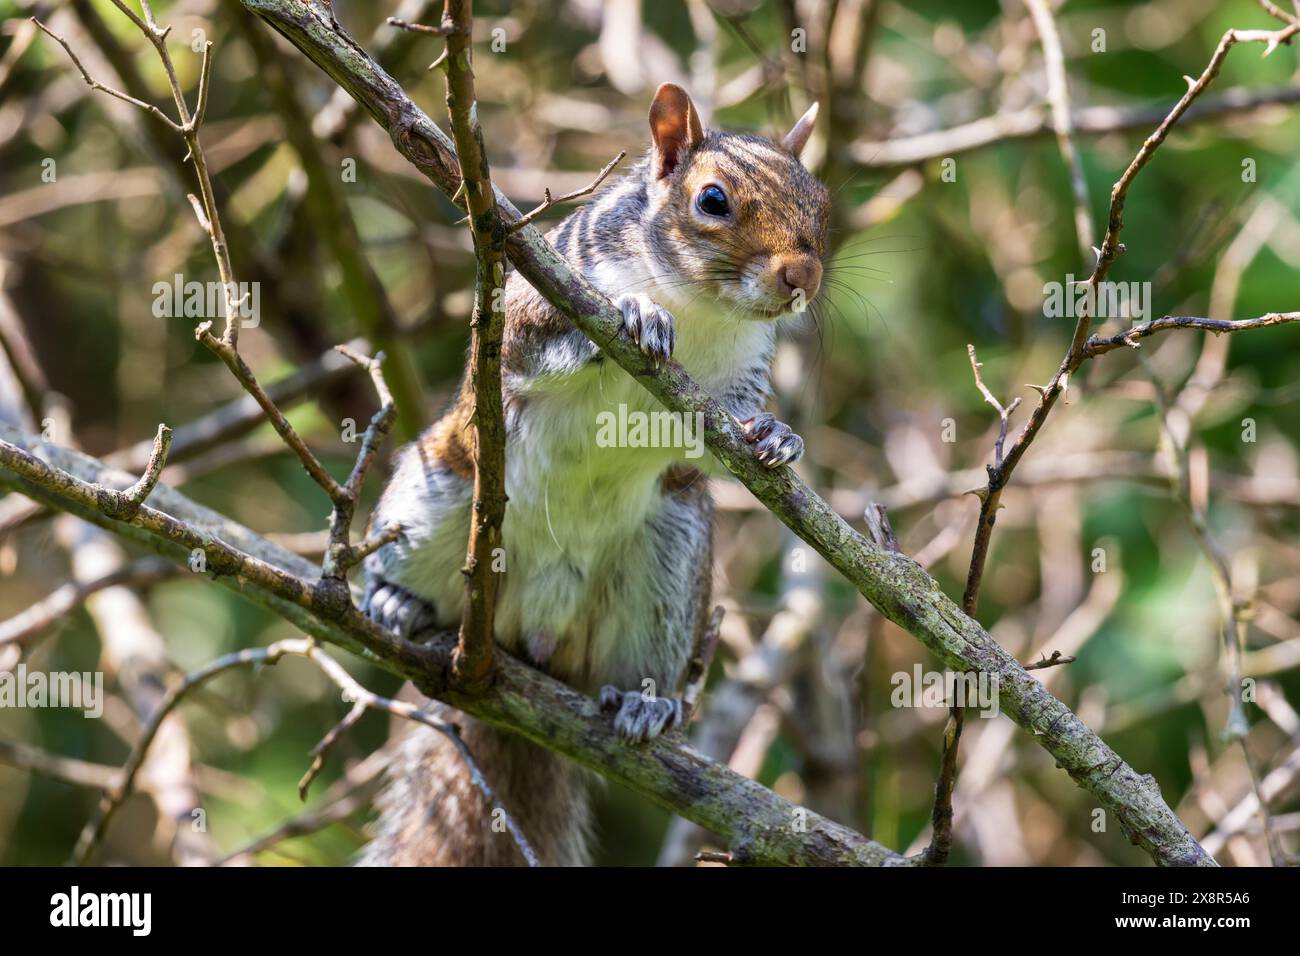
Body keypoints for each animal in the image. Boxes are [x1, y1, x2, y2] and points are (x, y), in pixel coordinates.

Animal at [357, 84, 829, 866]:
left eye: (820, 203)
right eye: (713, 200)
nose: (804, 277)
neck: (700, 303)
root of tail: (526, 642)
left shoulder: (734, 383)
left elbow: (719, 439)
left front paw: (776, 434)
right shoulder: (536, 292)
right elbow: (527, 343)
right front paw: (635, 313)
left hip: (668, 563)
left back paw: (643, 702)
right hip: (437, 494)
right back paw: (397, 601)